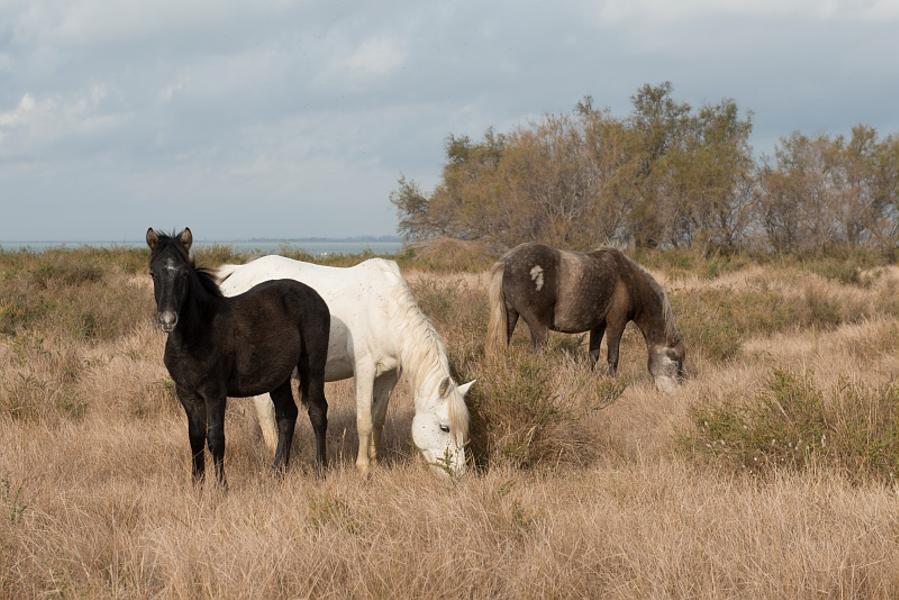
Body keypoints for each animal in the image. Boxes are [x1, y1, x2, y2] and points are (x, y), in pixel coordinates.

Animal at [146, 228, 331, 485]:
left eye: (184, 274)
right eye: (153, 273)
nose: (167, 320)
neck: (194, 336)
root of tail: (314, 296)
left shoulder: (215, 392)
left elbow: (216, 438)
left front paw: (222, 487)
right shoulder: (186, 393)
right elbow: (195, 439)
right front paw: (197, 486)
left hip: (313, 365)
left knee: (317, 411)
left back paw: (321, 471)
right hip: (278, 376)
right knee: (287, 415)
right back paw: (277, 472)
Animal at [215, 255, 474, 477]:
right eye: (444, 427)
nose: (457, 474)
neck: (386, 309)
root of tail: (237, 273)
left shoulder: (389, 375)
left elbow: (378, 418)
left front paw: (376, 461)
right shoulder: (365, 369)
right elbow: (364, 420)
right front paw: (363, 467)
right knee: (265, 413)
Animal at [486, 242, 686, 392]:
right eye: (676, 361)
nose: (679, 390)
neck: (628, 280)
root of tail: (506, 262)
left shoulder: (598, 326)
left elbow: (593, 355)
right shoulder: (616, 324)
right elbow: (613, 356)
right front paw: (612, 383)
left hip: (511, 316)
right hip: (538, 327)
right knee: (538, 353)